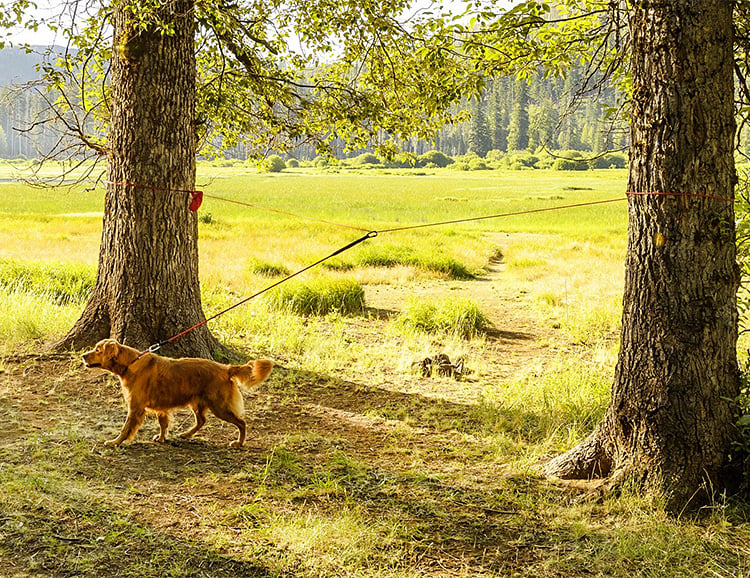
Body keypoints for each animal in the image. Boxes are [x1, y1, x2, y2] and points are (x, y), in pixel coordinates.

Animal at [82, 338, 274, 446]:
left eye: (97, 350)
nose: (83, 355)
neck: (130, 363)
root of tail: (226, 368)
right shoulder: (160, 408)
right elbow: (163, 424)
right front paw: (161, 438)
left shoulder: (135, 408)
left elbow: (126, 429)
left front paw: (115, 442)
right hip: (198, 403)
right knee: (202, 420)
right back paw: (187, 434)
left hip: (220, 406)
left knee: (242, 423)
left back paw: (239, 443)